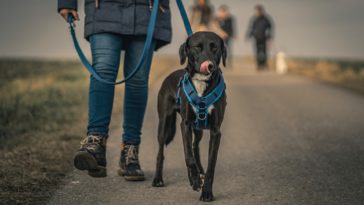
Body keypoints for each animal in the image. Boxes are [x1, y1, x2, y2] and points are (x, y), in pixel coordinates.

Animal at [151, 32, 226, 202]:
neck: (201, 83)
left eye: (215, 48)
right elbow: (188, 156)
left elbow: (211, 163)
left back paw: (198, 173)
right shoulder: (185, 124)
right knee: (161, 152)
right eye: (197, 47)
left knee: (195, 146)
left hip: (198, 130)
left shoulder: (215, 131)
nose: (210, 65)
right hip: (164, 124)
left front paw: (206, 192)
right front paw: (195, 181)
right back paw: (158, 179)